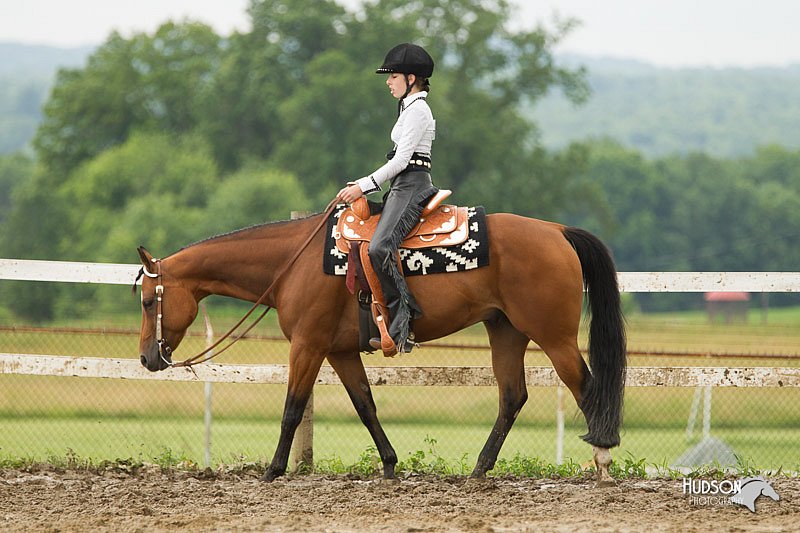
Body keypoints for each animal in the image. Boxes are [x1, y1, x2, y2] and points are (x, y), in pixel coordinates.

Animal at [136, 208, 624, 482]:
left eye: (147, 300)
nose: (146, 357)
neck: (292, 262)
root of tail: (557, 231)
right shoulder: (339, 351)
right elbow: (365, 404)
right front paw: (390, 464)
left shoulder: (308, 346)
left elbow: (293, 408)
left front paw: (273, 470)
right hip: (505, 330)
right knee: (512, 397)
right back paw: (479, 469)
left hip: (553, 336)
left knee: (586, 388)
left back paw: (601, 462)